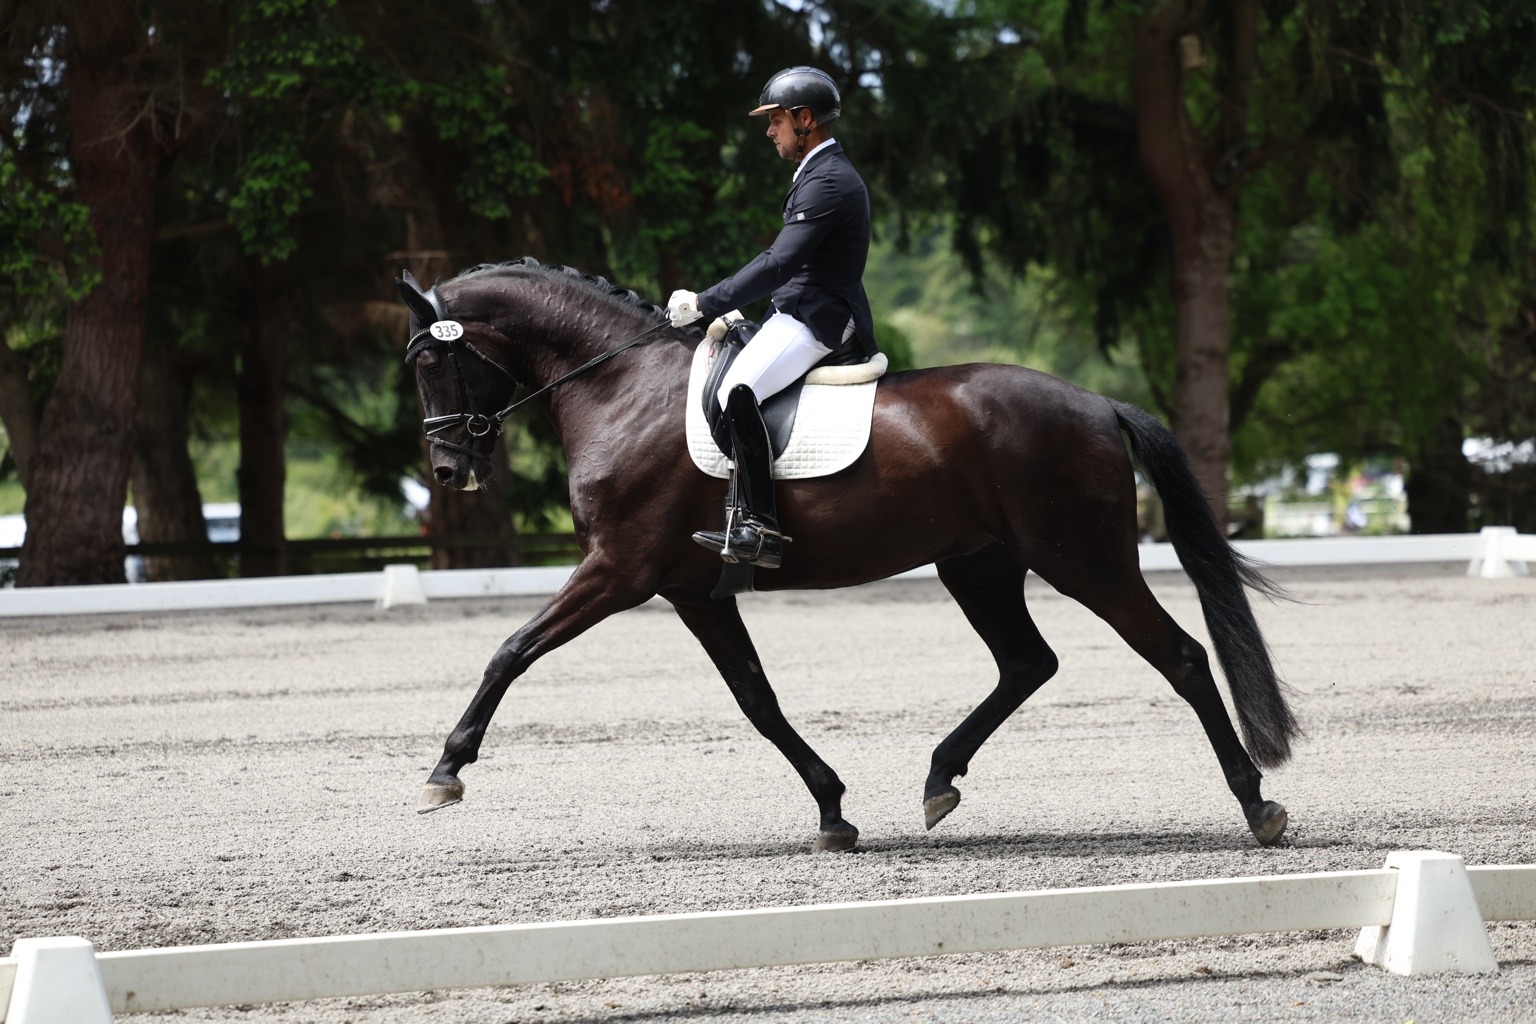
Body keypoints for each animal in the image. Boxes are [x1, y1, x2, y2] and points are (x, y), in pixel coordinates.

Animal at [397, 257, 1299, 852]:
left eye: (433, 358)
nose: (447, 470)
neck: (622, 389)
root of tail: (1099, 403)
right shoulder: (692, 590)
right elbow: (758, 700)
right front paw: (833, 812)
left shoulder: (619, 570)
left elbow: (511, 650)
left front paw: (446, 768)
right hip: (979, 564)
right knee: (1026, 663)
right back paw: (939, 782)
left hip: (1083, 560)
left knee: (1180, 657)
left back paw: (1257, 806)